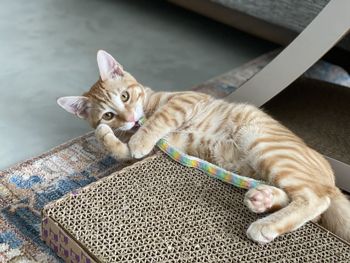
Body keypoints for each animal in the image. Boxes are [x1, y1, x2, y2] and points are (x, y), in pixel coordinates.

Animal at [58, 50, 350, 244]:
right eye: (108, 115)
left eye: (125, 96)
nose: (129, 119)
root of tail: (331, 176)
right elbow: (122, 149)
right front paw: (107, 134)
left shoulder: (185, 101)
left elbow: (158, 120)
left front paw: (140, 137)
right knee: (305, 202)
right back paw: (263, 198)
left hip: (262, 143)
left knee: (315, 199)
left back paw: (265, 225)